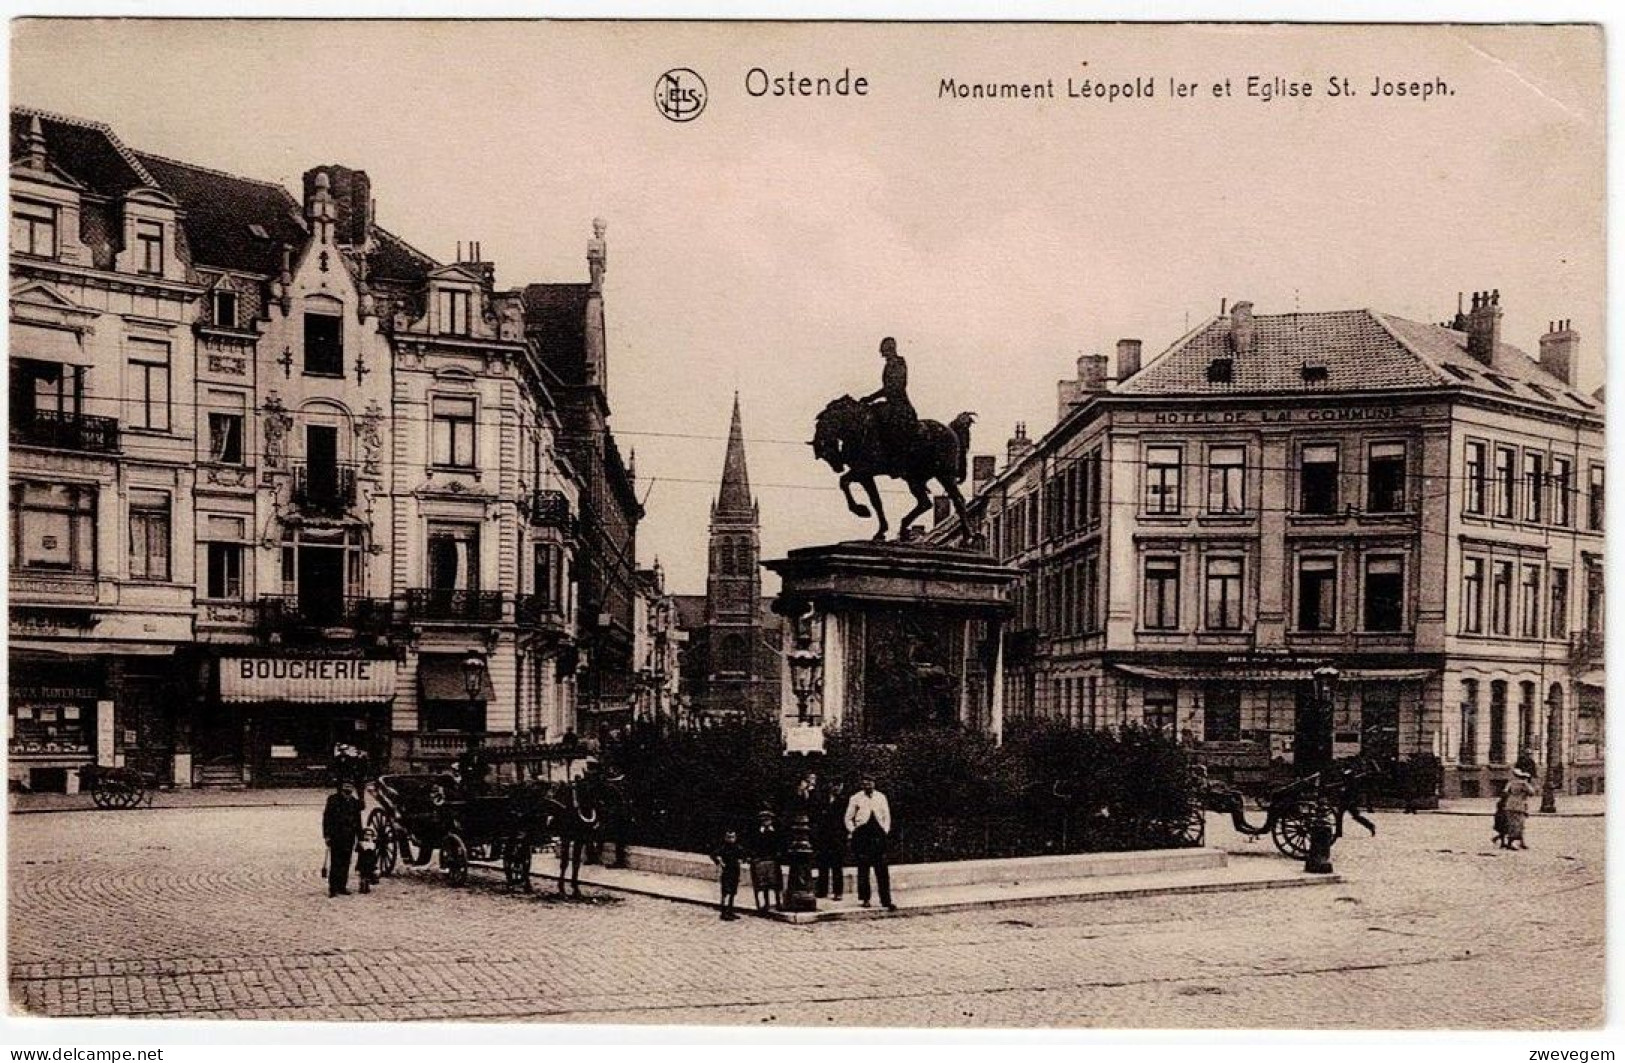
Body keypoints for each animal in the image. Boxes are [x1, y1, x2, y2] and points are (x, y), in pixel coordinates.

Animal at [812, 394, 975, 546]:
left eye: (825, 450)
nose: (837, 467)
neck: (858, 428)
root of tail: (951, 431)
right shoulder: (865, 475)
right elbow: (875, 501)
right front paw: (880, 531)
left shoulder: (865, 469)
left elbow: (844, 481)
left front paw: (861, 511)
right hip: (914, 478)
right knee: (925, 503)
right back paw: (903, 530)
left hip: (944, 474)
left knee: (957, 500)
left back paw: (967, 537)